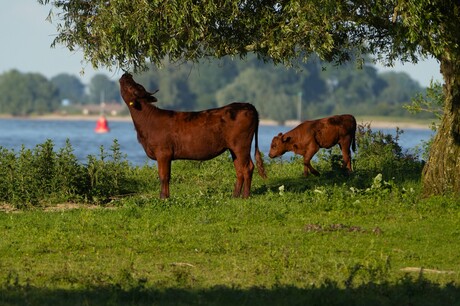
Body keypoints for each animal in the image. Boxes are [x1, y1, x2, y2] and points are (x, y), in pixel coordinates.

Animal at [120, 73, 268, 200]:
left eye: (133, 86)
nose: (127, 74)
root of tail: (247, 105)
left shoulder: (163, 152)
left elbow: (164, 176)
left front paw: (163, 198)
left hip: (241, 145)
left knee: (247, 167)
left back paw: (245, 196)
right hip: (234, 148)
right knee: (239, 169)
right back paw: (235, 196)